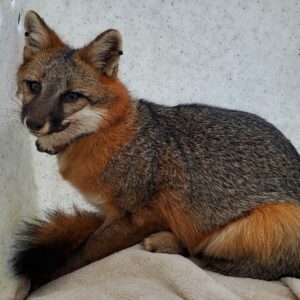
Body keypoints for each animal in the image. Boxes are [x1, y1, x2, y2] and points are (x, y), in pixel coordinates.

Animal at [12, 11, 300, 288]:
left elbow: (83, 253)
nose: (33, 122)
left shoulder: (138, 217)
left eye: (71, 96)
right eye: (34, 86)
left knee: (209, 258)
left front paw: (45, 279)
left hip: (252, 228)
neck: (104, 133)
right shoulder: (108, 214)